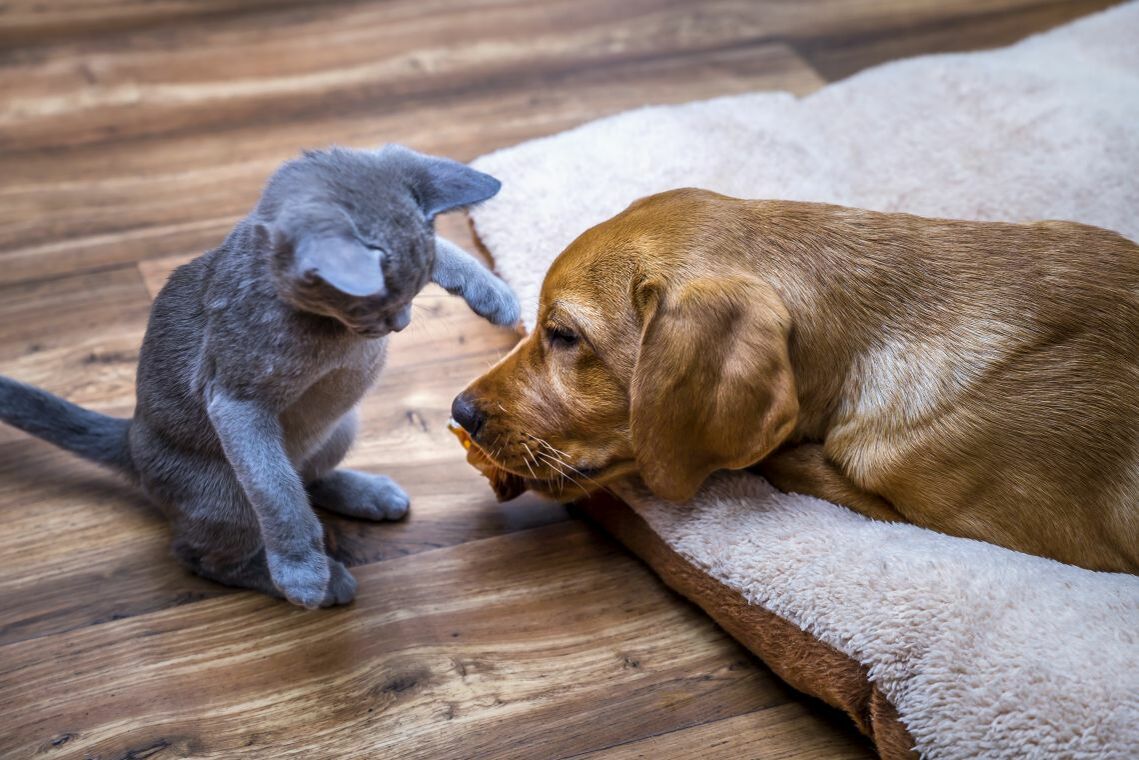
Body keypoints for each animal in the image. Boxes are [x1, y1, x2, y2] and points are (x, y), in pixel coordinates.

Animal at [1, 142, 521, 610]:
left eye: (410, 293)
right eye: (377, 303)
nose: (402, 323)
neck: (329, 331)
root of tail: (130, 436)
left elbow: (448, 251)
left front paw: (499, 296)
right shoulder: (237, 403)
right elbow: (278, 495)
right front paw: (302, 574)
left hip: (340, 425)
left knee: (308, 474)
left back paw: (371, 495)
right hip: (227, 494)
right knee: (204, 551)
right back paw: (325, 582)